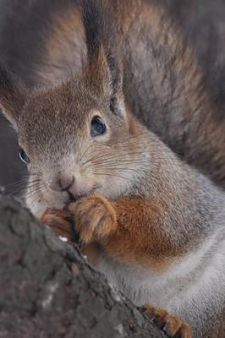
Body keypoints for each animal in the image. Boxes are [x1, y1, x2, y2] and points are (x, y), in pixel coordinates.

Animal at [0, 0, 225, 338]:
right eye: (23, 153)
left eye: (98, 125)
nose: (62, 181)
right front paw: (54, 222)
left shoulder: (180, 194)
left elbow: (163, 229)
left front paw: (103, 213)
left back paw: (174, 322)